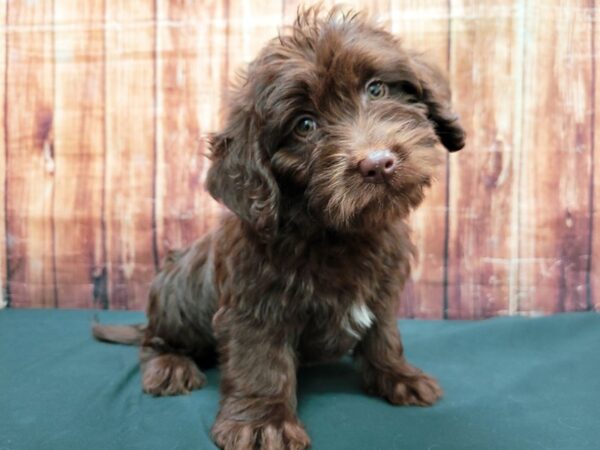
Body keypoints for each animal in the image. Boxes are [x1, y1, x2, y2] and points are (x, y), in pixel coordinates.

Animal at [92, 7, 464, 450]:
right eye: (304, 125)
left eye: (376, 89)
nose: (378, 163)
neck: (336, 231)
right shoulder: (256, 304)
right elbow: (261, 360)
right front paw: (263, 422)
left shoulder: (383, 291)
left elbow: (384, 335)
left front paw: (398, 375)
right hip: (173, 297)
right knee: (154, 340)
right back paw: (169, 365)